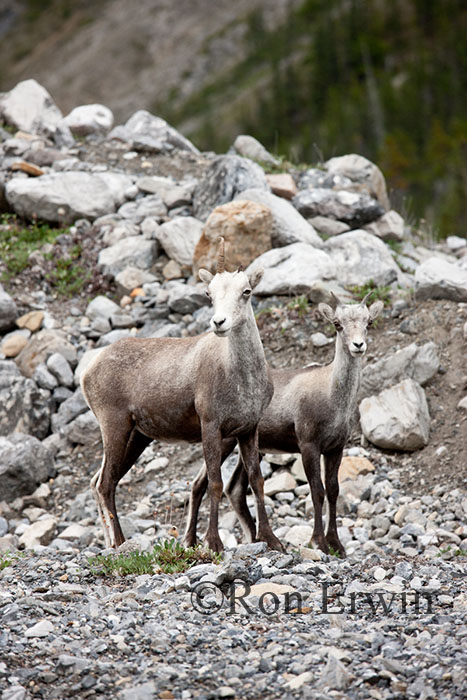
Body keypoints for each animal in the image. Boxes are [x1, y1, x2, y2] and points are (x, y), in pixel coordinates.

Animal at [81, 241, 282, 552]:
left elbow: (256, 481)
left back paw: (112, 543)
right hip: (114, 428)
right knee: (104, 484)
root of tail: (89, 371)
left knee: (101, 482)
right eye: (209, 293)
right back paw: (119, 544)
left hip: (137, 437)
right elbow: (214, 483)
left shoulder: (248, 430)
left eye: (246, 291)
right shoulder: (211, 427)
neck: (240, 377)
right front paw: (213, 543)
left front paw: (272, 541)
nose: (219, 322)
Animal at [186, 292, 384, 556]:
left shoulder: (335, 449)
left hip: (249, 448)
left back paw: (254, 538)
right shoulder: (309, 446)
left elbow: (333, 491)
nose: (358, 345)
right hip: (224, 440)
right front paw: (318, 542)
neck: (332, 395)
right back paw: (191, 542)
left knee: (234, 489)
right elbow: (317, 491)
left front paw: (337, 545)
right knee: (201, 483)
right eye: (337, 324)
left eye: (368, 322)